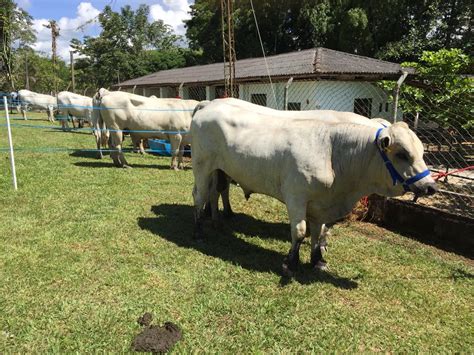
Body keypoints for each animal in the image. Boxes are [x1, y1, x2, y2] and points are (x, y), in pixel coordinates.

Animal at [189, 97, 436, 276]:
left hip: (220, 169)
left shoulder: (321, 204)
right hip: (202, 165)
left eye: (422, 151)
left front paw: (318, 259)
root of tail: (208, 105)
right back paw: (199, 230)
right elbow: (299, 231)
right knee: (200, 196)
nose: (430, 187)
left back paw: (218, 219)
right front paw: (290, 262)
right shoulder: (296, 197)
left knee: (216, 192)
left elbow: (319, 231)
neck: (333, 153)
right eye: (402, 154)